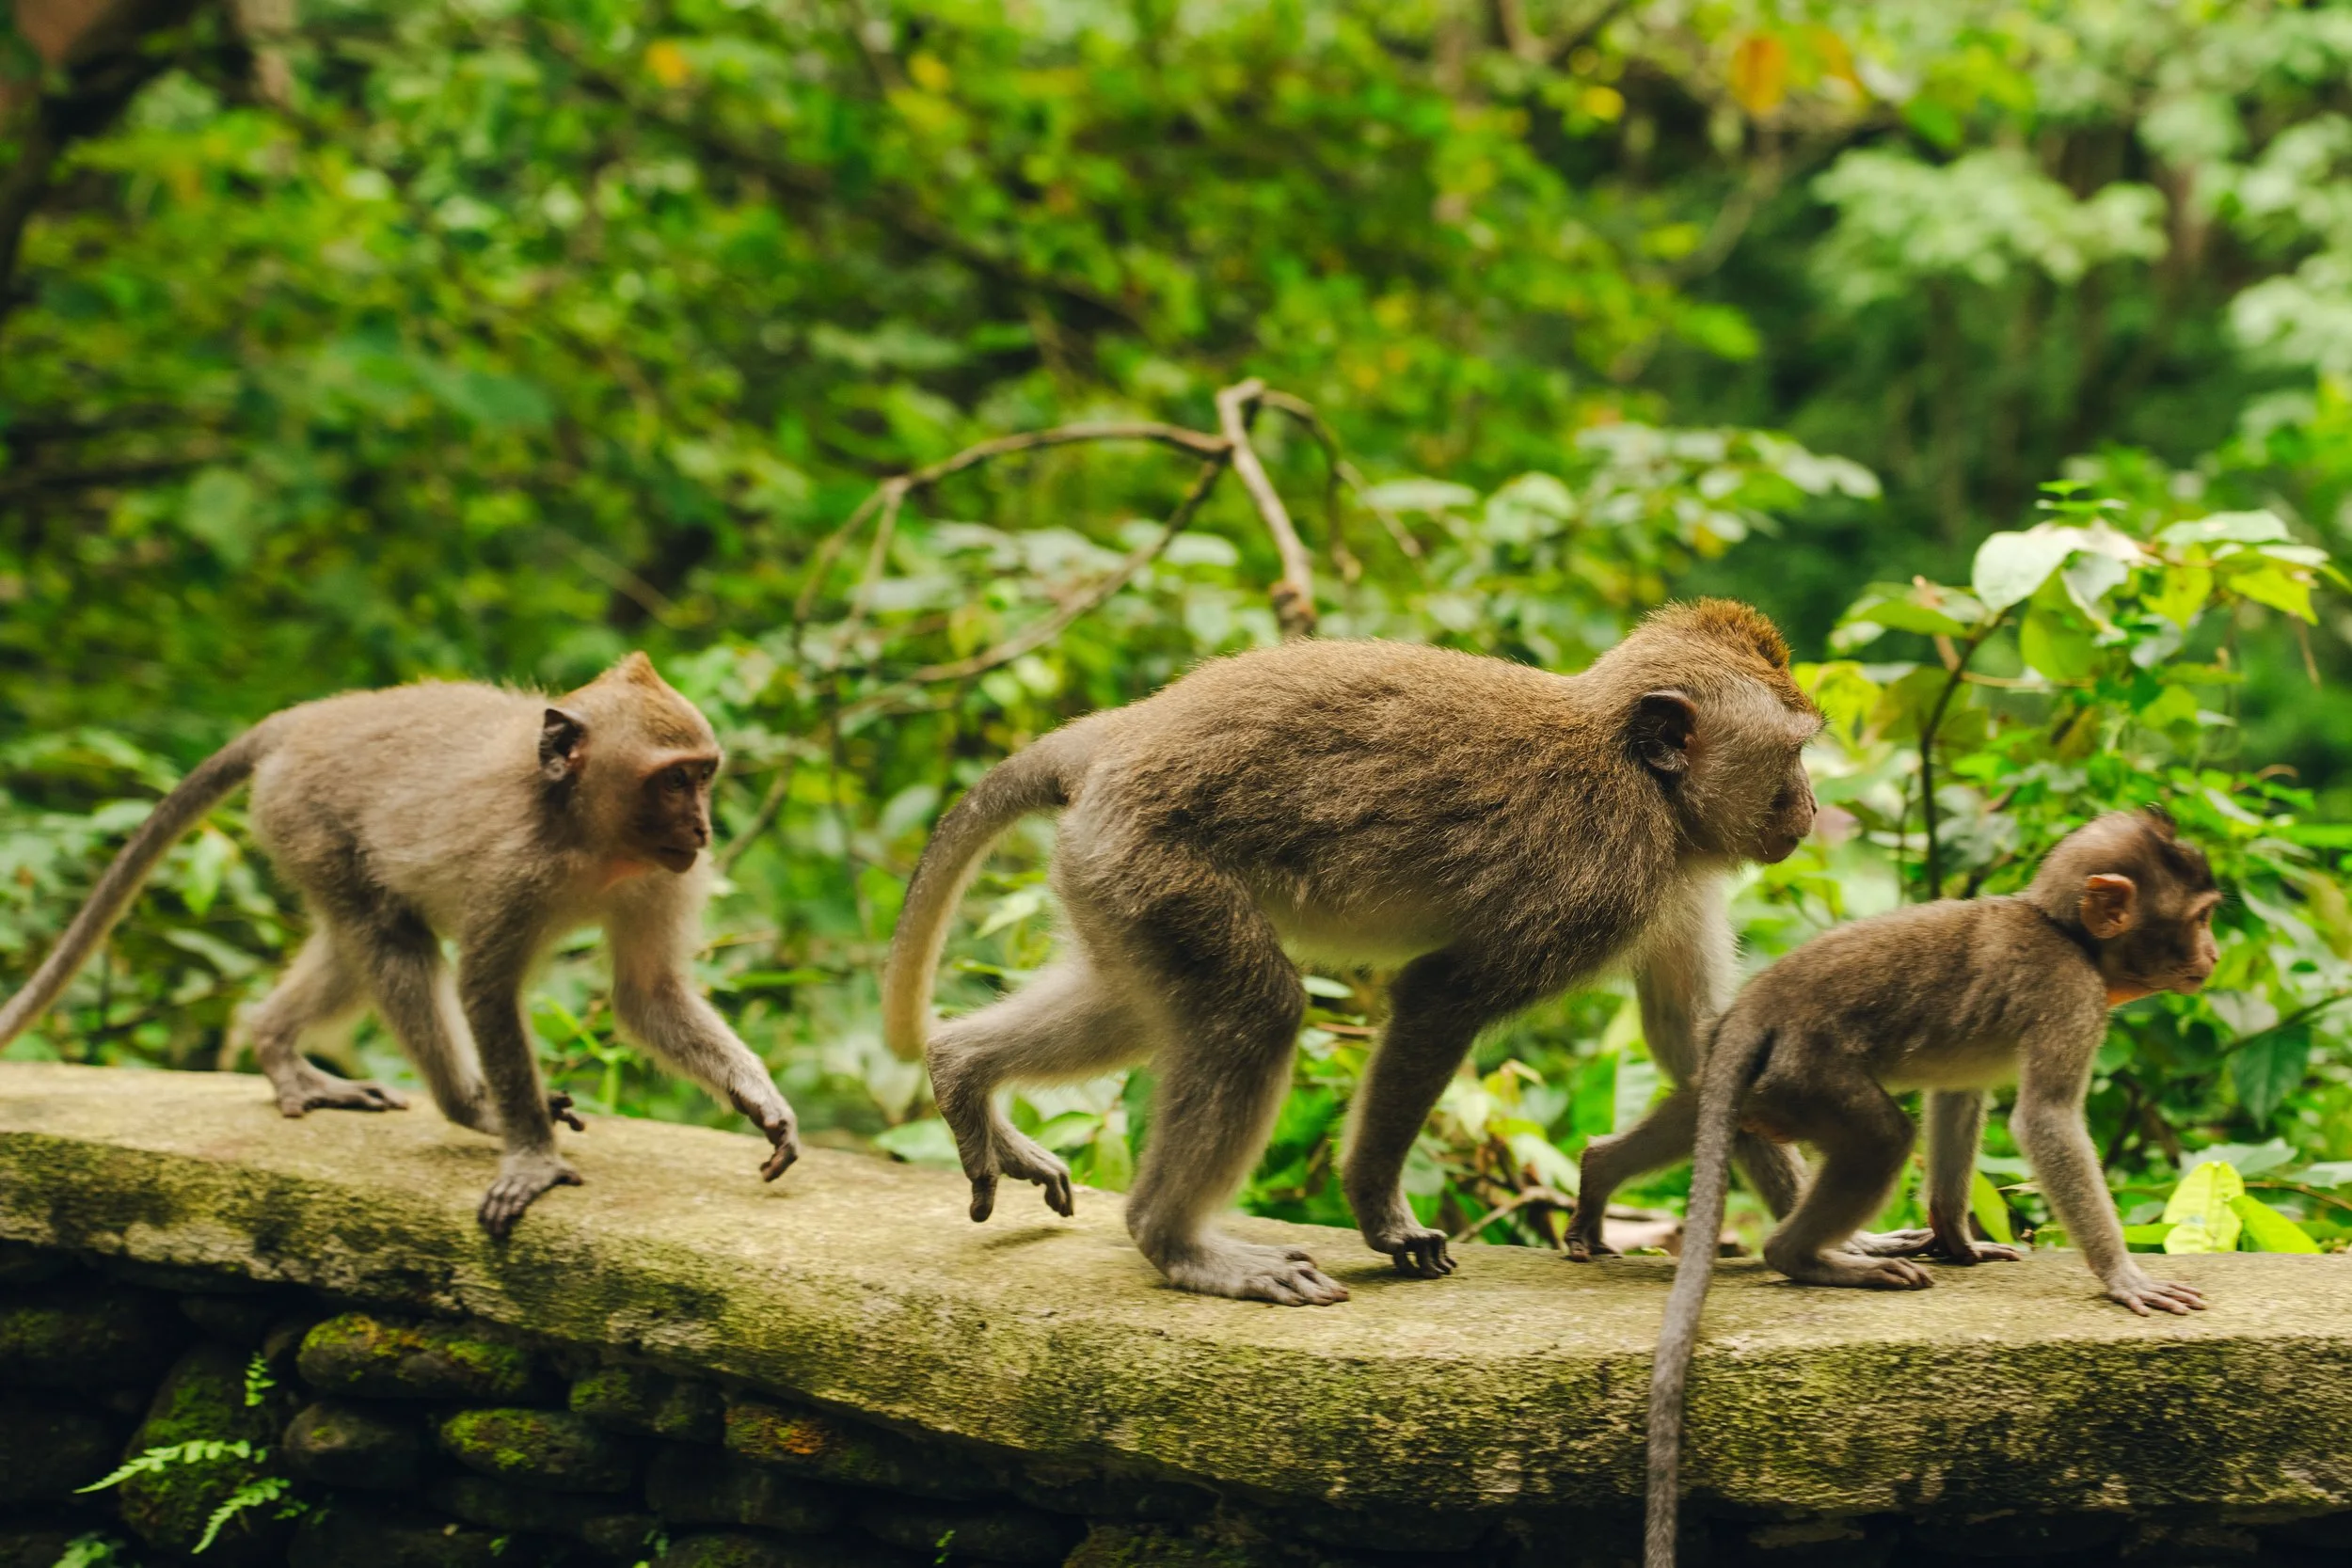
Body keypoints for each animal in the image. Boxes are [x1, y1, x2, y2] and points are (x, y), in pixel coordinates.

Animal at [0, 653, 800, 1236]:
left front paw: (763, 1102)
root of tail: (309, 717)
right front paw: (530, 1154)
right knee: (391, 938)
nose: (703, 827)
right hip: (305, 817)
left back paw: (275, 1045)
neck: (588, 837)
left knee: (360, 942)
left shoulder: (664, 875)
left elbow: (647, 993)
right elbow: (485, 988)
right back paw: (468, 1106)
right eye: (674, 779)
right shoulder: (513, 867)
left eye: (704, 774)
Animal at [880, 600, 1827, 1306]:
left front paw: (1818, 1239)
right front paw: (1382, 1213)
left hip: (1109, 872)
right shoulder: (1602, 877)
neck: (1646, 781)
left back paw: (962, 1070)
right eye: (1795, 753)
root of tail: (1116, 735)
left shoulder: (1678, 878)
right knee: (1253, 1011)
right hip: (1151, 857)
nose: (1813, 807)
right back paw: (1177, 1240)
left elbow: (1702, 1042)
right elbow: (1441, 994)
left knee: (1132, 1003)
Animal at [1630, 807, 2219, 1568]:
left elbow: (1959, 1092)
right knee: (1882, 1138)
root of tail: (1755, 1007)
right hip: (1810, 1069)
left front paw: (1958, 1238)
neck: (2068, 934)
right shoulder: (2071, 994)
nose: (2212, 955)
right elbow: (2046, 1119)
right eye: (2201, 917)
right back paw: (1811, 1258)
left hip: (1772, 1084)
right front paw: (2124, 1276)